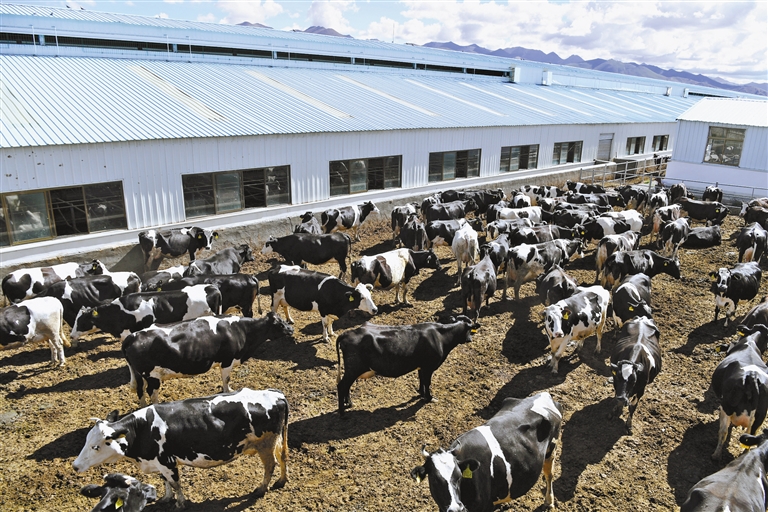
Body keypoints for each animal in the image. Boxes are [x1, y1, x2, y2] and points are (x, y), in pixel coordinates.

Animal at [73, 388, 289, 508]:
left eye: (95, 446)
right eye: (86, 441)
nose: (75, 466)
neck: (141, 429)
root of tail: (275, 393)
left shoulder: (167, 461)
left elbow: (175, 483)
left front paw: (180, 503)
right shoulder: (159, 462)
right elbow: (166, 482)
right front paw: (166, 499)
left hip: (265, 444)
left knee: (271, 464)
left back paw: (261, 489)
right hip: (277, 440)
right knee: (283, 457)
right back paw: (281, 481)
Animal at [123, 313, 293, 405]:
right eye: (279, 324)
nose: (291, 329)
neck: (241, 330)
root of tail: (133, 336)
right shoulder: (227, 360)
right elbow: (226, 380)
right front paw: (228, 392)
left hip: (140, 374)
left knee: (140, 390)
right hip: (152, 375)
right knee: (151, 392)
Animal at [336, 316, 476, 415]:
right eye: (469, 330)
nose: (470, 340)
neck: (440, 336)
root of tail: (348, 332)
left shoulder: (421, 366)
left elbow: (421, 380)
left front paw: (421, 394)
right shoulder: (429, 366)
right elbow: (427, 382)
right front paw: (429, 397)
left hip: (352, 370)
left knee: (346, 386)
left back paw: (349, 403)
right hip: (354, 368)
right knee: (342, 386)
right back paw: (342, 413)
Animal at [410, 392, 562, 510]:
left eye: (459, 477)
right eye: (435, 480)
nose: (456, 508)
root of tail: (544, 395)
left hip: (551, 450)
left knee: (549, 475)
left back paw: (549, 502)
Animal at [710, 324, 768, 460]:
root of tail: (752, 376)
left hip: (726, 407)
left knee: (723, 431)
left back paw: (716, 455)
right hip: (760, 416)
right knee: (751, 436)